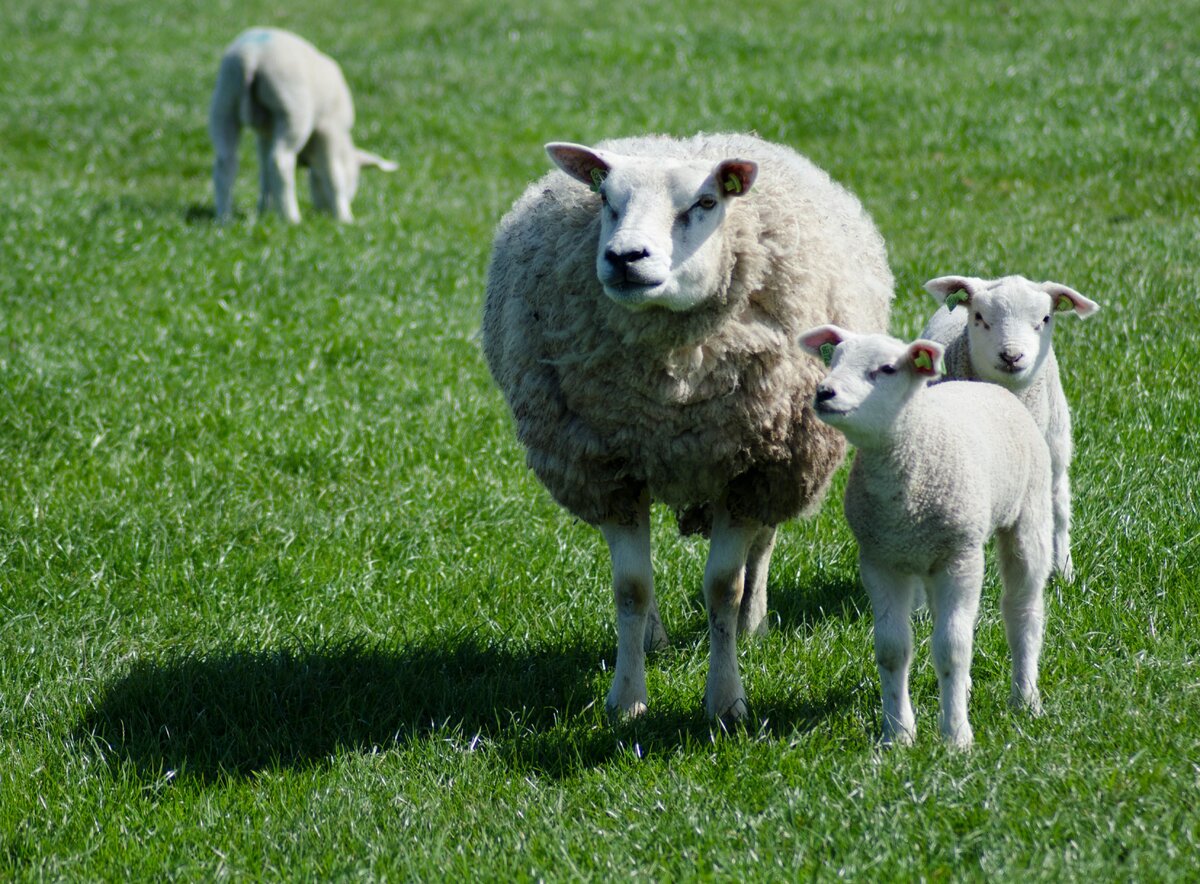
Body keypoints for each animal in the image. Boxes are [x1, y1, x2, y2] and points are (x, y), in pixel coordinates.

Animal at [206, 28, 393, 224]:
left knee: (226, 162)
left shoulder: (266, 135)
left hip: (224, 101)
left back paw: (224, 217)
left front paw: (266, 210)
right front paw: (344, 217)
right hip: (292, 108)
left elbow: (265, 173)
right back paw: (292, 217)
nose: (324, 212)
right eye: (354, 180)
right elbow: (333, 173)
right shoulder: (330, 128)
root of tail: (253, 56)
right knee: (281, 161)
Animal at [482, 134, 897, 719]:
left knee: (762, 545)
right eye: (606, 198)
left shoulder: (753, 470)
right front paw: (627, 701)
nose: (624, 257)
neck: (673, 393)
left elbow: (723, 586)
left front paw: (726, 702)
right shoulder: (609, 471)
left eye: (705, 203)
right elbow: (630, 588)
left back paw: (751, 624)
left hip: (783, 463)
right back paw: (654, 636)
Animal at [801, 328, 1056, 748]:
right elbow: (892, 649)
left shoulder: (961, 555)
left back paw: (1025, 697)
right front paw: (897, 734)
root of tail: (984, 385)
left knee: (1022, 609)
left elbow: (952, 649)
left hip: (1028, 513)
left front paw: (956, 736)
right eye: (833, 360)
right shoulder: (880, 560)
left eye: (887, 369)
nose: (824, 392)